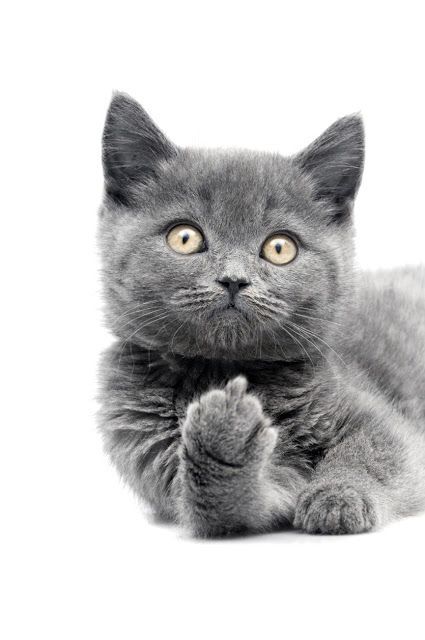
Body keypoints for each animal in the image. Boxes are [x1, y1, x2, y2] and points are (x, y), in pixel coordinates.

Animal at [97, 92, 424, 536]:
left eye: (280, 247)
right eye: (185, 237)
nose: (234, 279)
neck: (223, 369)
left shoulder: (383, 424)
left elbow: (373, 452)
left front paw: (339, 496)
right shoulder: (152, 450)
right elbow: (226, 504)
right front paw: (224, 437)